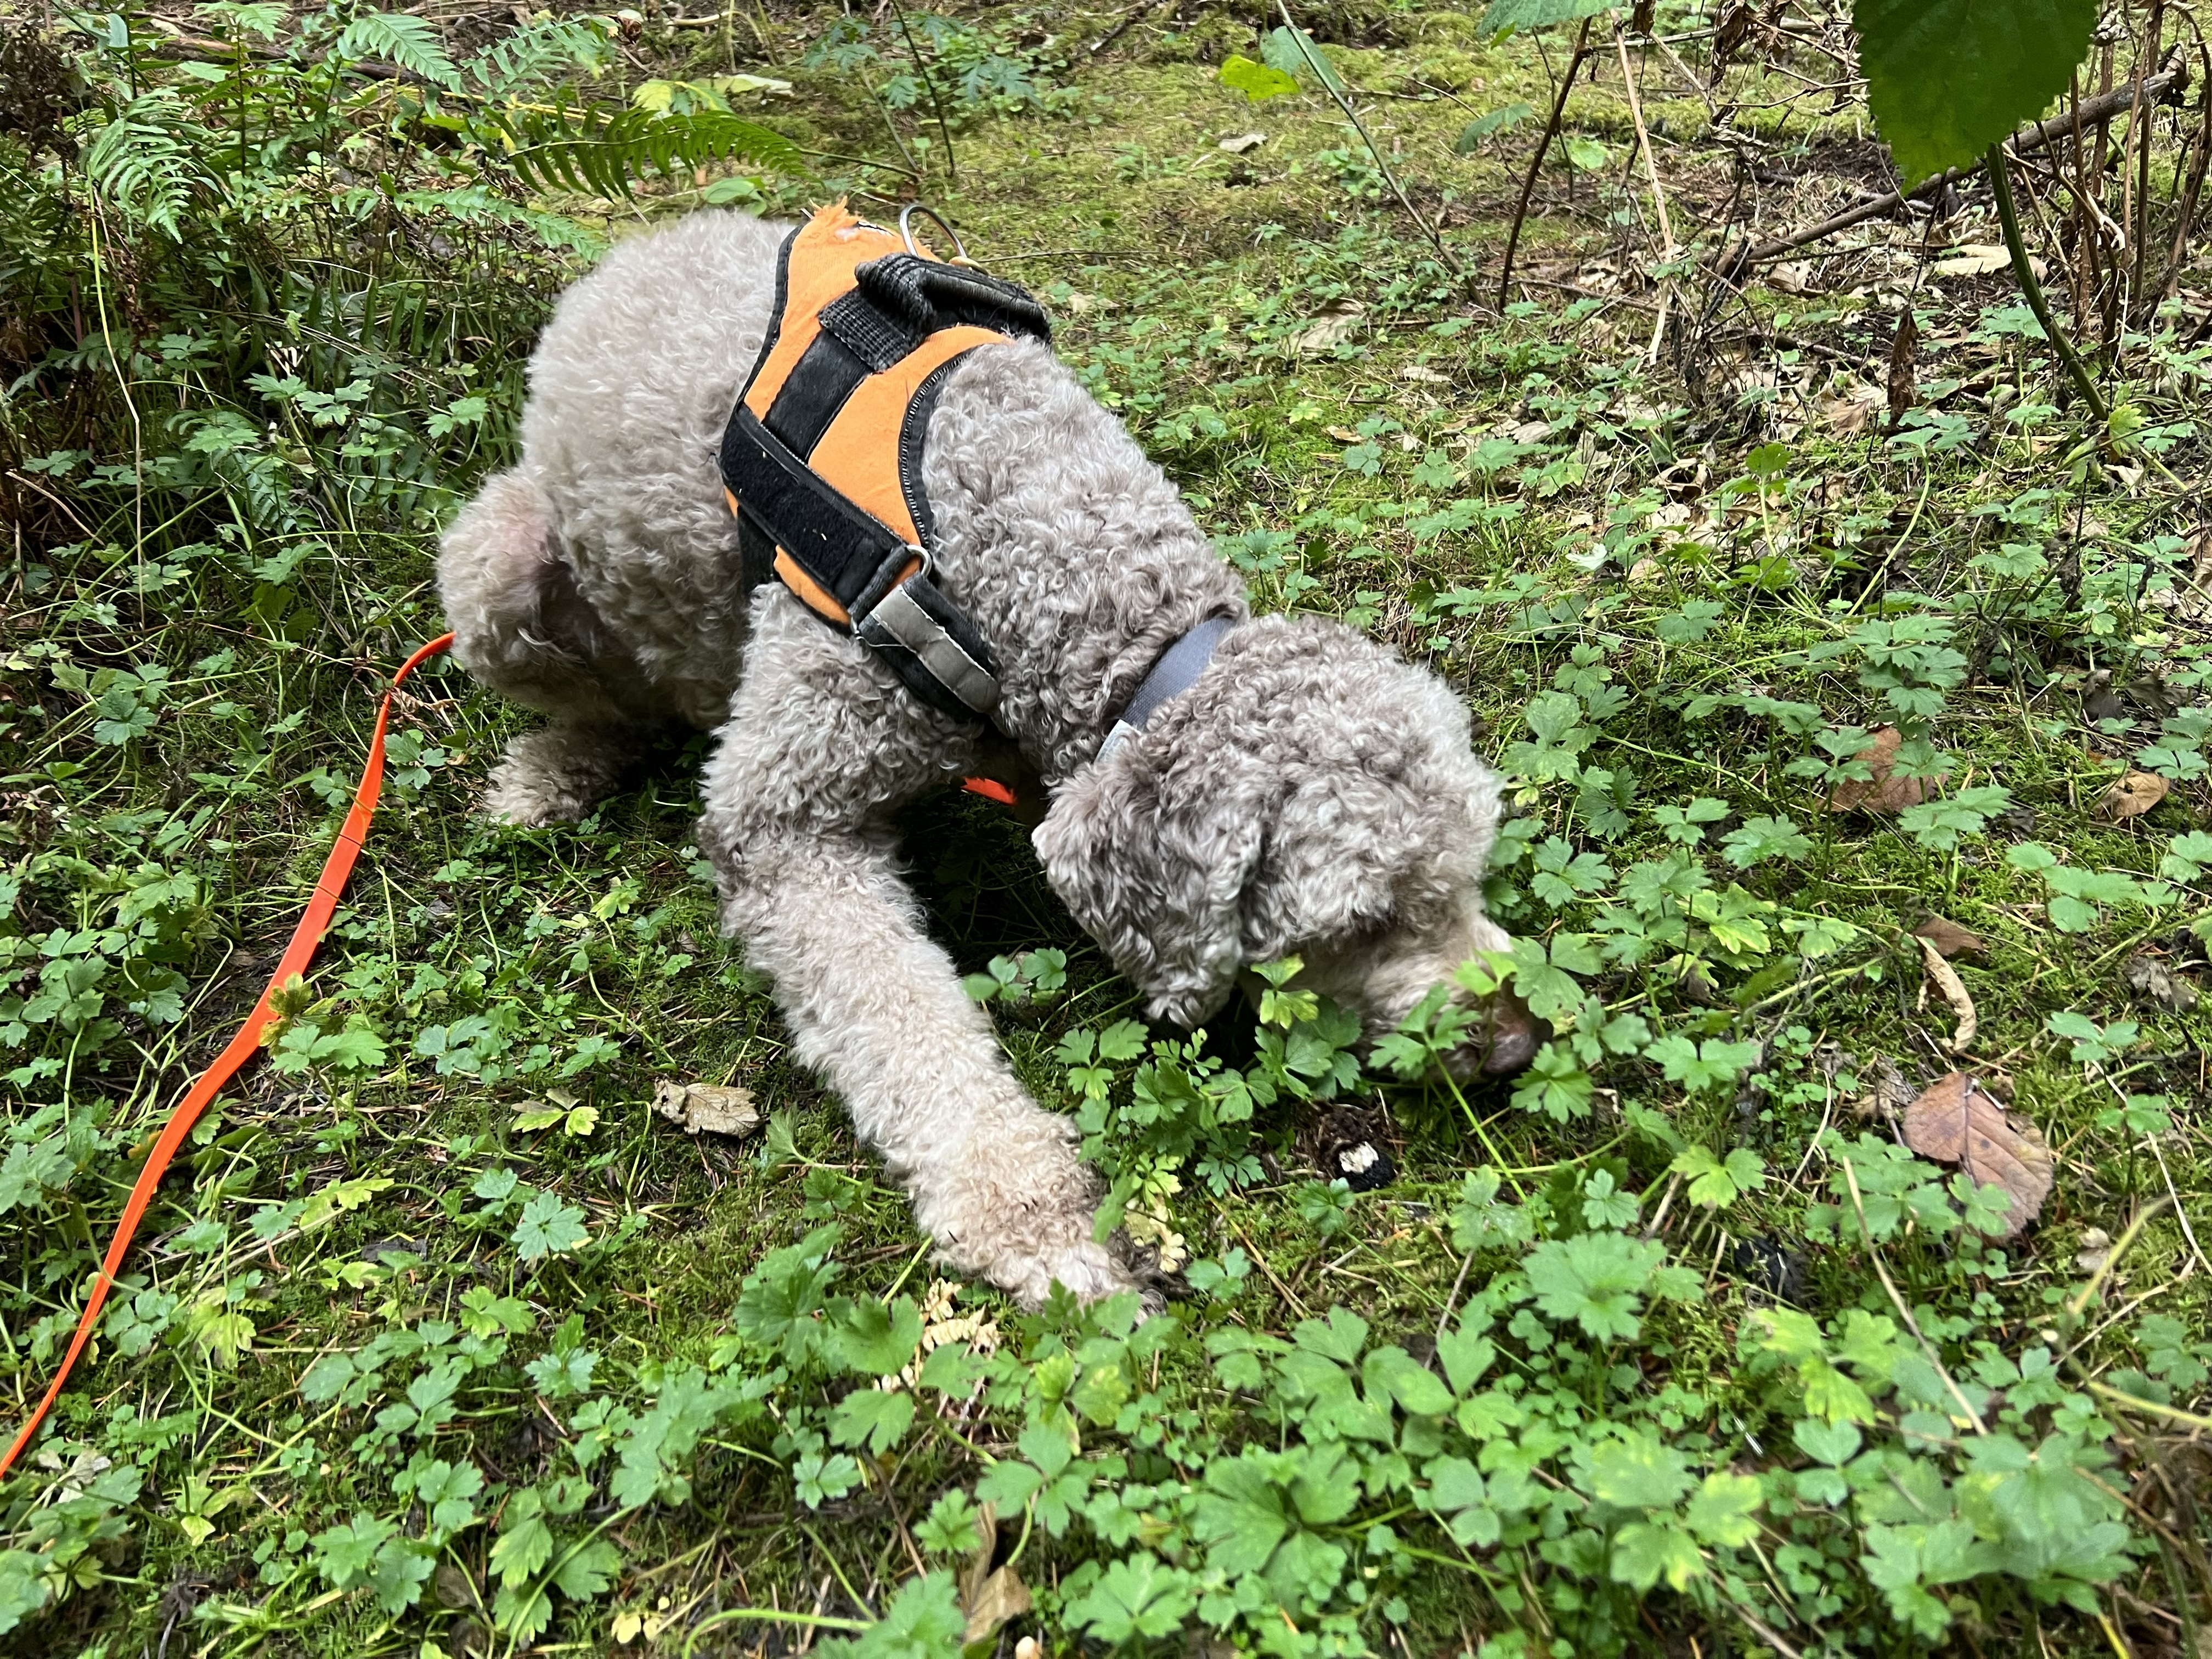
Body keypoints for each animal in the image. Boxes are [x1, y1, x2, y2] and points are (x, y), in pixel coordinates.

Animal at [436, 208, 1539, 1309]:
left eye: (1466, 871)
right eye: (1361, 923)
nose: (1521, 1042)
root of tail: (638, 244)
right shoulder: (784, 825)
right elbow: (907, 1027)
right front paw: (1034, 1214)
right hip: (495, 567)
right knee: (607, 695)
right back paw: (555, 768)